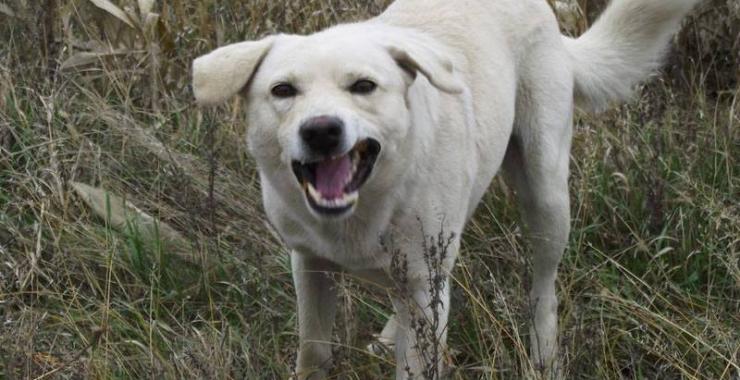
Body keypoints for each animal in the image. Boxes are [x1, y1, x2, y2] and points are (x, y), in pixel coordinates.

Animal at [191, 1, 700, 378]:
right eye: (283, 90)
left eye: (363, 86)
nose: (321, 131)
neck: (367, 206)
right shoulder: (310, 263)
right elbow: (313, 353)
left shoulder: (421, 282)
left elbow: (417, 362)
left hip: (547, 193)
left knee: (544, 289)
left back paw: (542, 358)